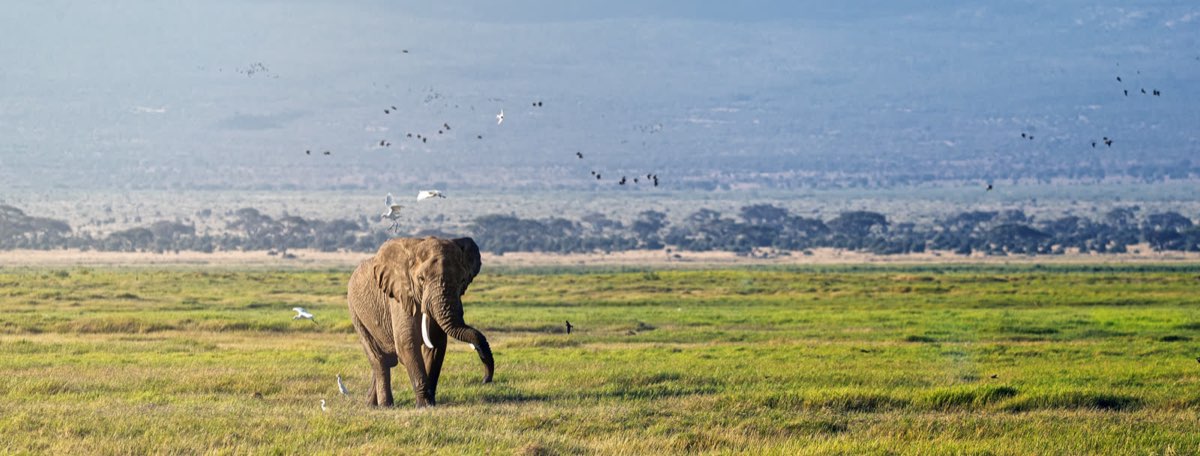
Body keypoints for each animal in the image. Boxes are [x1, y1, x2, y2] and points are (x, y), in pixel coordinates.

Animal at [346, 236, 493, 407]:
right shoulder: (399, 297)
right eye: (421, 279)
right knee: (379, 359)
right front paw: (423, 405)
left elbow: (435, 345)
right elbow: (407, 343)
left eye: (462, 280)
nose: (485, 380)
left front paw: (431, 403)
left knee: (386, 361)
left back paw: (371, 404)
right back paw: (385, 406)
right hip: (355, 312)